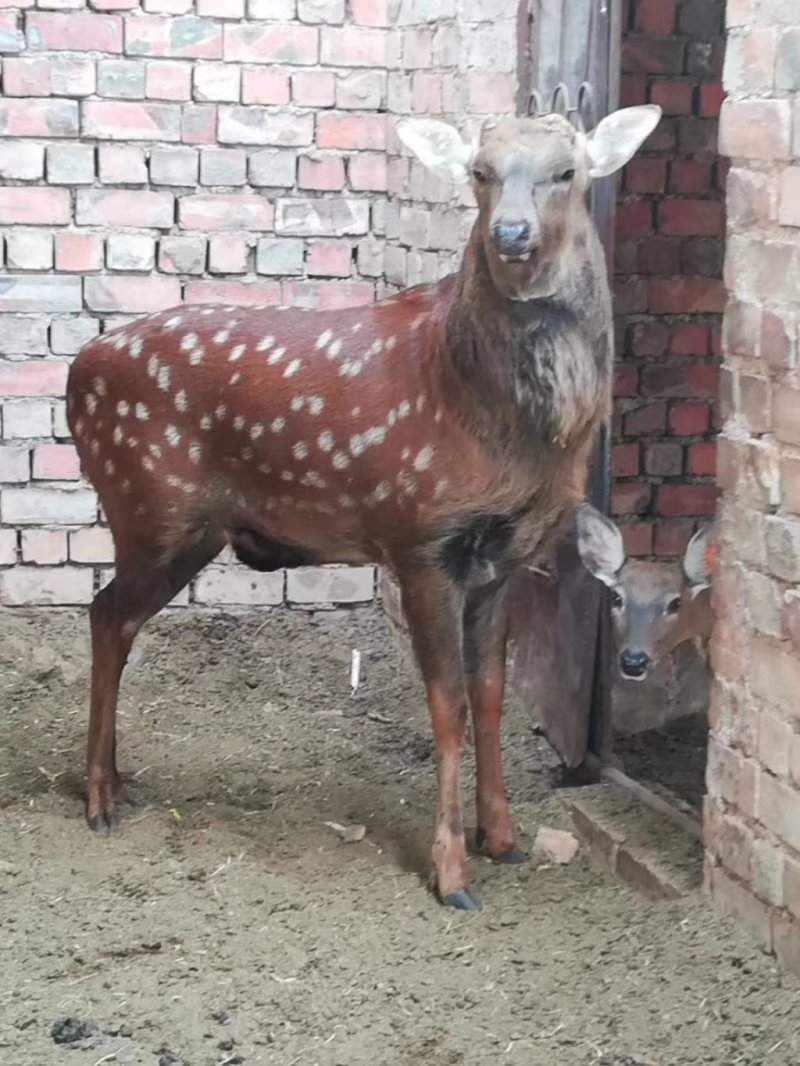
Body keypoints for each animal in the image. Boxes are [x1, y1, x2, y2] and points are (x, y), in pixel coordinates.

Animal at [66, 103, 661, 911]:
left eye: (566, 172)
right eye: (479, 172)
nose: (510, 234)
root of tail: (73, 374)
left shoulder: (506, 557)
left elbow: (493, 695)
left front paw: (503, 839)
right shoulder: (420, 536)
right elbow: (447, 706)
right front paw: (452, 873)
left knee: (113, 617)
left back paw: (119, 782)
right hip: (150, 506)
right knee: (104, 614)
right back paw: (98, 797)